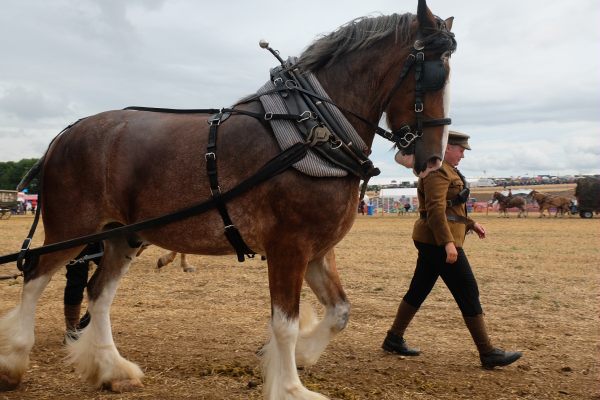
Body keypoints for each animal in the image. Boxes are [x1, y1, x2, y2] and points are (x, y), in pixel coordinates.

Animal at [0, 1, 454, 398]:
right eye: (435, 73)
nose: (432, 159)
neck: (314, 128)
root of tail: (65, 134)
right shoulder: (289, 247)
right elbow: (285, 324)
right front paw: (291, 388)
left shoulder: (318, 250)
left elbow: (340, 311)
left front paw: (300, 356)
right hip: (72, 227)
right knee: (35, 277)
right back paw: (14, 362)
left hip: (122, 236)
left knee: (98, 293)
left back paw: (111, 369)